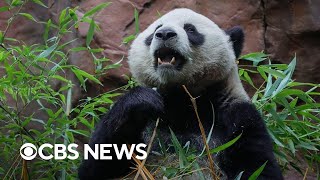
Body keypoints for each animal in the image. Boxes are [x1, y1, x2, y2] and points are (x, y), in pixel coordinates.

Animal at [79, 8, 284, 179]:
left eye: (190, 29)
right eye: (156, 29)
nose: (164, 34)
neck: (183, 98)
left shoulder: (236, 116)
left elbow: (258, 167)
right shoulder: (152, 123)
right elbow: (96, 166)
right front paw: (139, 101)